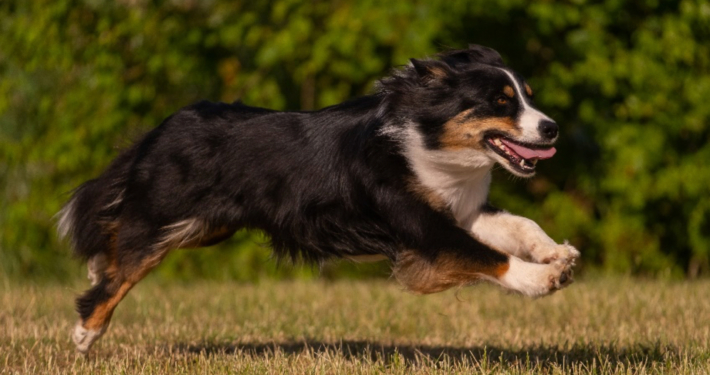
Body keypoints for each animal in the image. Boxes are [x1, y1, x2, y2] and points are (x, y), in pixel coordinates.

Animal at [59, 45, 584, 354]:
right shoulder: (424, 231)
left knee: (115, 249)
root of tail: (165, 126)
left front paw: (557, 252)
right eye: (501, 102)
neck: (430, 143)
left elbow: (518, 226)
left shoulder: (459, 208)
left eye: (527, 96)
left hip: (206, 226)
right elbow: (489, 256)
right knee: (123, 267)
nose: (552, 128)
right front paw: (545, 278)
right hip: (165, 215)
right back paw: (85, 332)